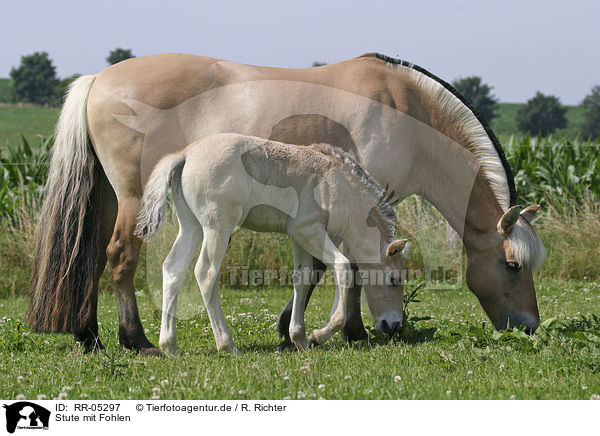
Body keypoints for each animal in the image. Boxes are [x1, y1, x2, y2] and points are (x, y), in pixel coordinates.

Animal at [136, 135, 408, 356]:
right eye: (394, 279)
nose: (393, 326)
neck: (337, 184)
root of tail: (186, 154)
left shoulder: (299, 238)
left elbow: (303, 279)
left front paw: (300, 338)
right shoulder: (309, 231)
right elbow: (342, 268)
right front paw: (319, 335)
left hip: (191, 227)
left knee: (173, 270)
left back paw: (169, 346)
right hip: (217, 228)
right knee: (206, 274)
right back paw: (227, 345)